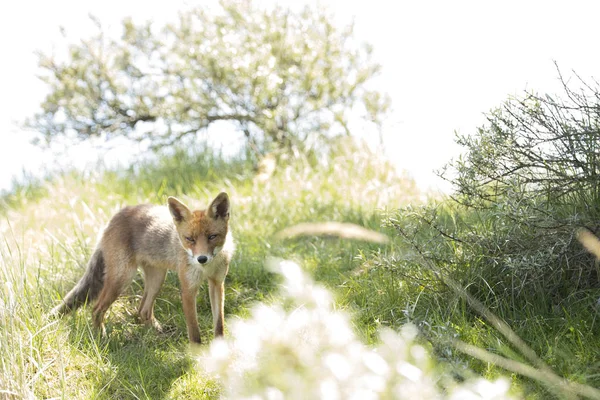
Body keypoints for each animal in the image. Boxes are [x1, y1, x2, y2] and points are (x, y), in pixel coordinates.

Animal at [51, 192, 234, 342]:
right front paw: (198, 355)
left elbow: (219, 325)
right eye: (189, 239)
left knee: (142, 311)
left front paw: (220, 350)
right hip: (122, 279)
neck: (206, 269)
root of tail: (115, 217)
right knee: (96, 309)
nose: (201, 259)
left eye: (212, 236)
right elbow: (194, 333)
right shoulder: (188, 289)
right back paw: (101, 339)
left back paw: (158, 334)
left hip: (157, 278)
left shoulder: (217, 284)